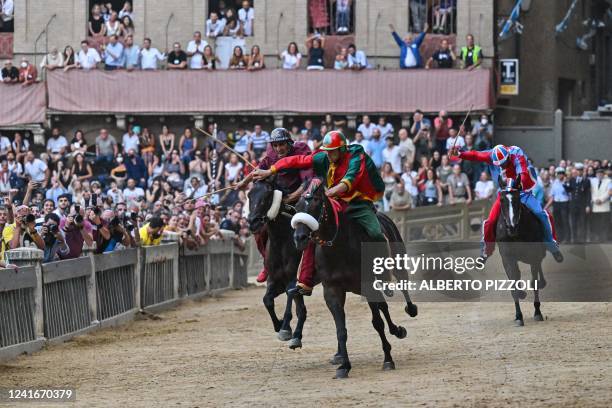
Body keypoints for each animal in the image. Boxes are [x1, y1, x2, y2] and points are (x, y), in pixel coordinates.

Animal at [247, 180, 308, 350]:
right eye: (249, 195)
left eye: (268, 194)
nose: (253, 222)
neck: (281, 240)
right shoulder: (275, 279)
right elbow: (267, 300)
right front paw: (279, 324)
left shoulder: (293, 278)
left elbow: (291, 296)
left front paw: (285, 328)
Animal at [290, 178, 416, 380]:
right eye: (297, 206)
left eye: (316, 202)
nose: (299, 237)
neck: (339, 247)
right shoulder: (332, 290)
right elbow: (341, 329)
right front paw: (344, 366)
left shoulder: (368, 285)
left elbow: (377, 323)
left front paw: (388, 359)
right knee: (383, 306)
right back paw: (396, 329)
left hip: (397, 261)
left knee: (401, 286)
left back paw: (410, 311)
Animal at [494, 177, 548, 326]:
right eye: (502, 199)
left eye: (517, 198)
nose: (511, 227)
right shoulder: (507, 258)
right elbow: (513, 282)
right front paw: (518, 316)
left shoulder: (534, 255)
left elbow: (534, 282)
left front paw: (537, 312)